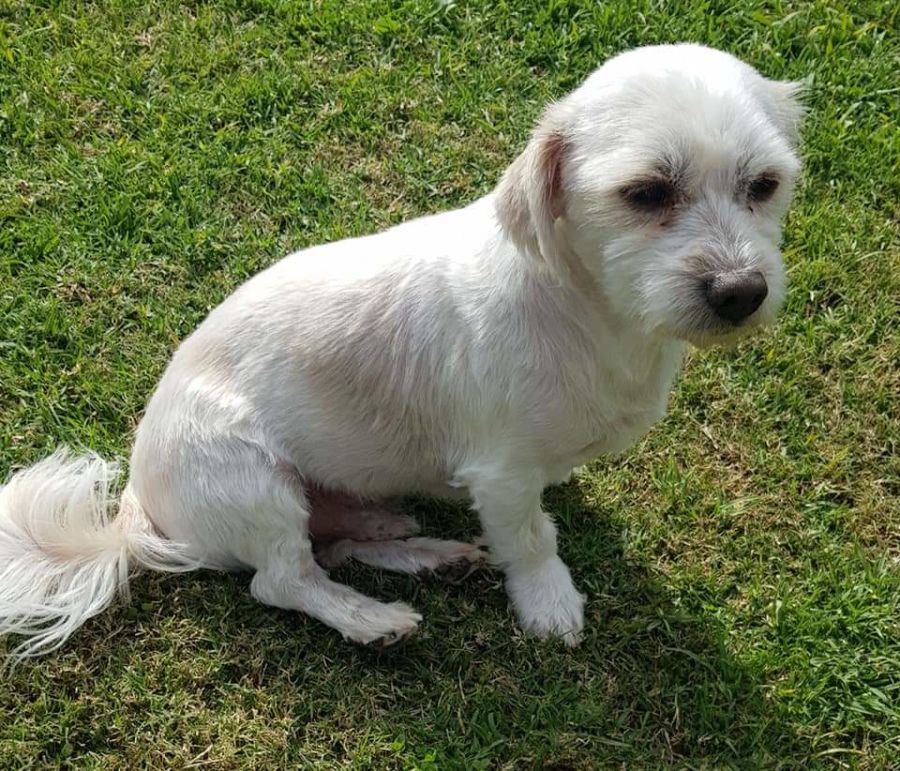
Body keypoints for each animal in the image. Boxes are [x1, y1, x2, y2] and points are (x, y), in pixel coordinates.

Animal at [0, 44, 803, 657]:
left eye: (764, 184)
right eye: (646, 192)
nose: (741, 290)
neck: (586, 310)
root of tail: (141, 503)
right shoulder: (501, 471)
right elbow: (531, 536)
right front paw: (548, 601)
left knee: (337, 545)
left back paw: (426, 553)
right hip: (251, 481)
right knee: (282, 579)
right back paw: (370, 617)